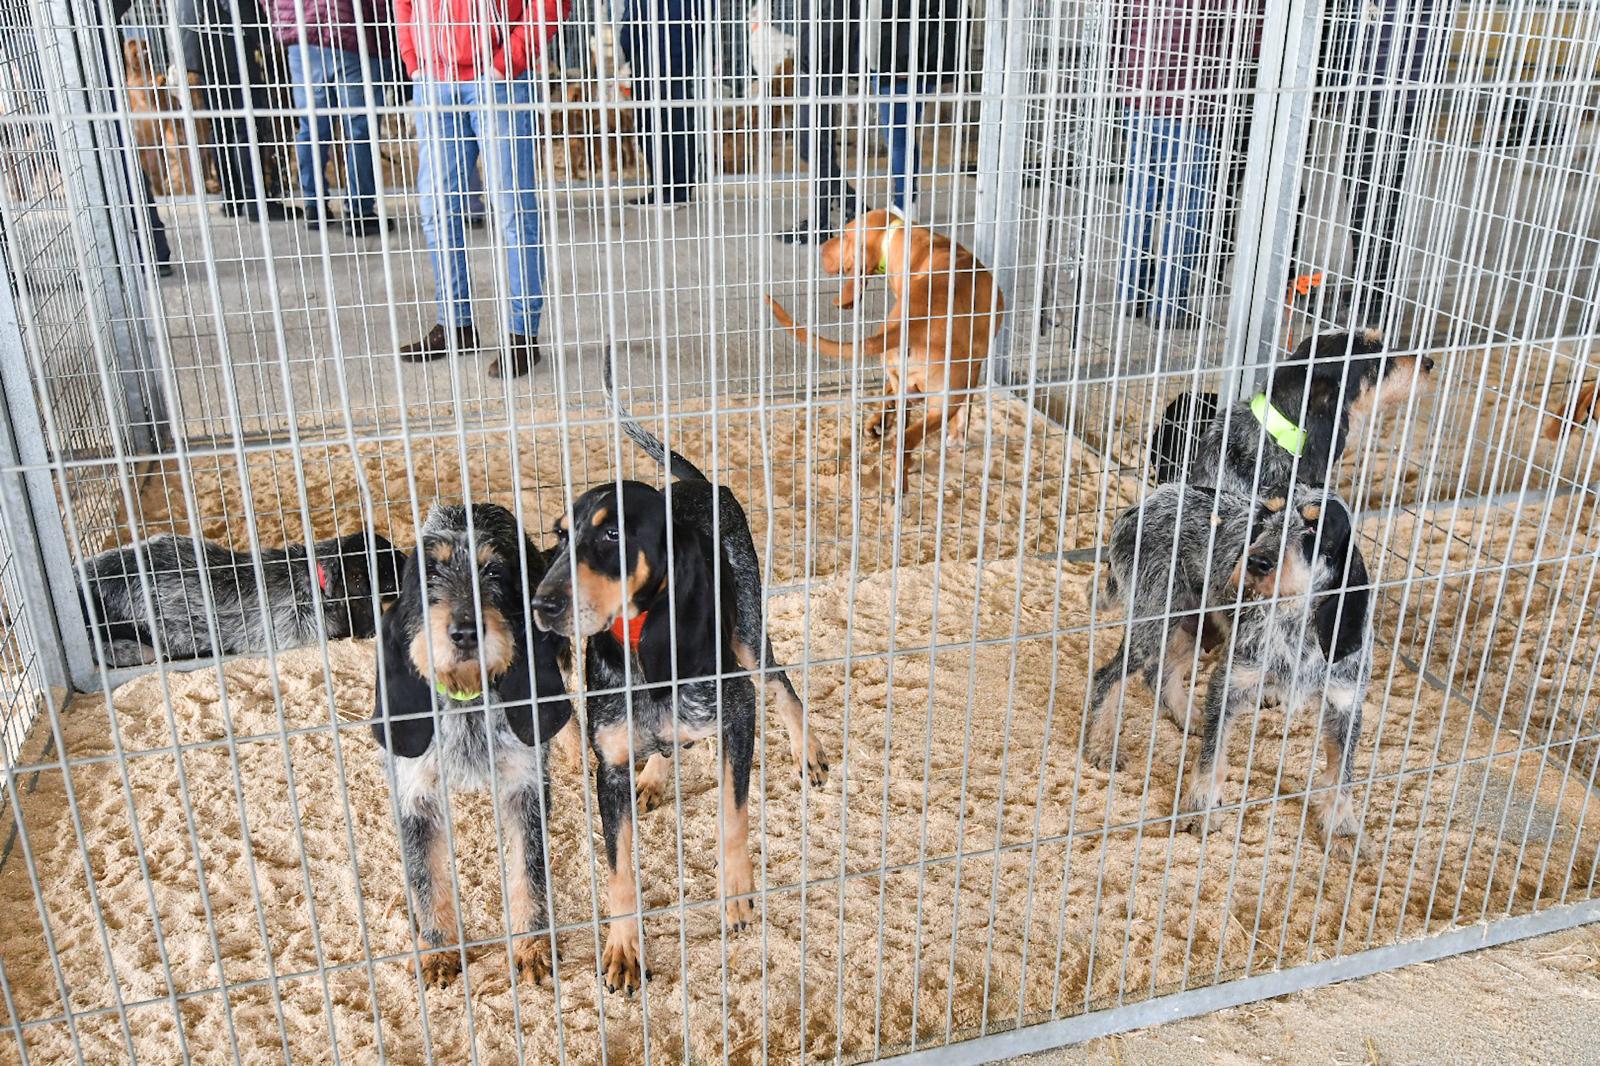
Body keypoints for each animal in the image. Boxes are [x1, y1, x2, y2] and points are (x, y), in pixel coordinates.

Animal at [368, 502, 576, 985]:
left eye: (494, 571)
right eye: (429, 575)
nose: (464, 630)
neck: (469, 698)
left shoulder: (525, 788)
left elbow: (528, 872)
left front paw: (533, 947)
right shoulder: (414, 797)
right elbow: (427, 880)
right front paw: (438, 951)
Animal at [528, 352, 832, 992]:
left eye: (613, 532)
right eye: (561, 537)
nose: (541, 604)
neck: (643, 648)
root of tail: (699, 484)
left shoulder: (737, 717)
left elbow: (733, 816)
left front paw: (736, 893)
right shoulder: (608, 769)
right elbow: (618, 873)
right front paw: (624, 947)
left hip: (747, 634)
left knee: (783, 684)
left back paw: (807, 750)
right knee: (671, 741)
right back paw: (655, 775)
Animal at [761, 206, 998, 486]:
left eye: (846, 234)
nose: (821, 247)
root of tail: (915, 321)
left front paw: (878, 423)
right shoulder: (973, 367)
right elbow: (965, 410)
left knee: (901, 421)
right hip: (948, 395)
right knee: (909, 436)